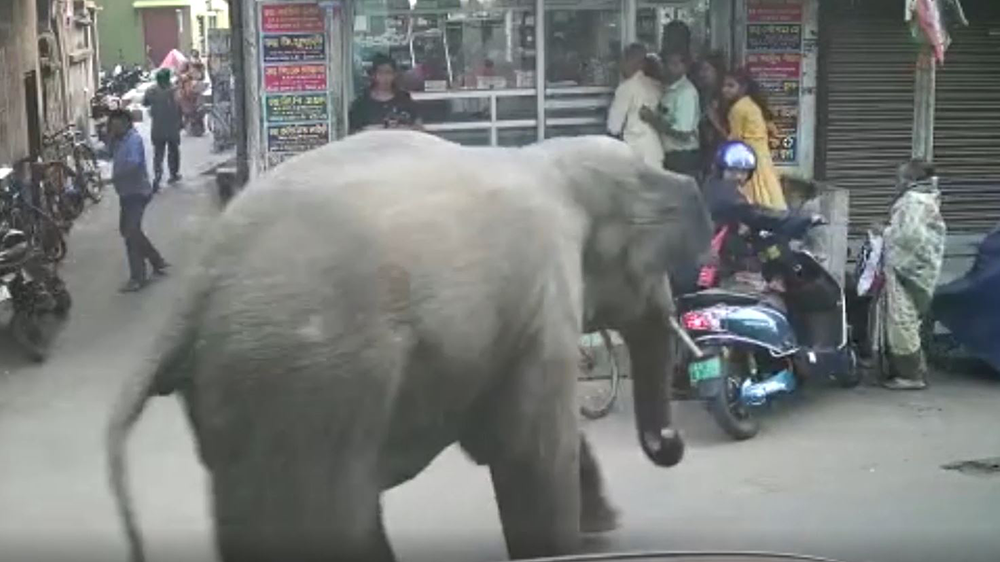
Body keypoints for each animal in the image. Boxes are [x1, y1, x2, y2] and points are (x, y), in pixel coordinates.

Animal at [107, 131, 713, 562]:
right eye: (654, 268)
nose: (672, 443)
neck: (548, 159)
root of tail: (198, 288)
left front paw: (602, 528)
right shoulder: (543, 290)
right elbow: (530, 447)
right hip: (308, 386)